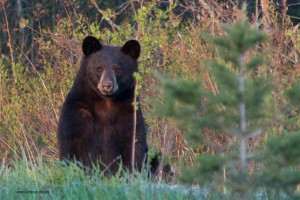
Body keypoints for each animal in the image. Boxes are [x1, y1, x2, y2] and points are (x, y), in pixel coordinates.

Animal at [56, 36, 148, 173]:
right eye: (99, 68)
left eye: (118, 69)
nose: (107, 85)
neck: (106, 104)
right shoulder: (77, 113)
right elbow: (71, 144)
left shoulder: (129, 115)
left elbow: (135, 145)